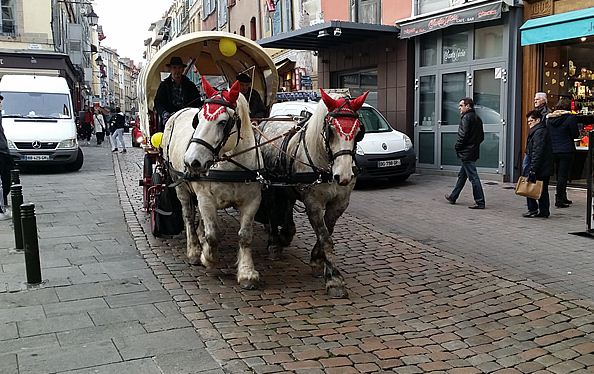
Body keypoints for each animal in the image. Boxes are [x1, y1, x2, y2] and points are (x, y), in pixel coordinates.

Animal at [163, 79, 262, 290]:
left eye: (223, 122)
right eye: (198, 120)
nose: (191, 161)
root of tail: (178, 112)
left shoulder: (252, 200)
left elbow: (245, 235)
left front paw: (246, 272)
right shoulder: (206, 198)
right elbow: (213, 234)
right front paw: (207, 257)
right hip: (180, 186)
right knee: (188, 215)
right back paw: (194, 250)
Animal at [258, 89, 368, 296]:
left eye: (359, 132)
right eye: (331, 130)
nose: (343, 176)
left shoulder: (339, 203)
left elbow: (327, 231)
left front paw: (317, 261)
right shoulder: (313, 203)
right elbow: (325, 237)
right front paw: (334, 279)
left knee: (288, 205)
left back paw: (286, 233)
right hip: (269, 186)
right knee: (271, 210)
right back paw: (274, 243)